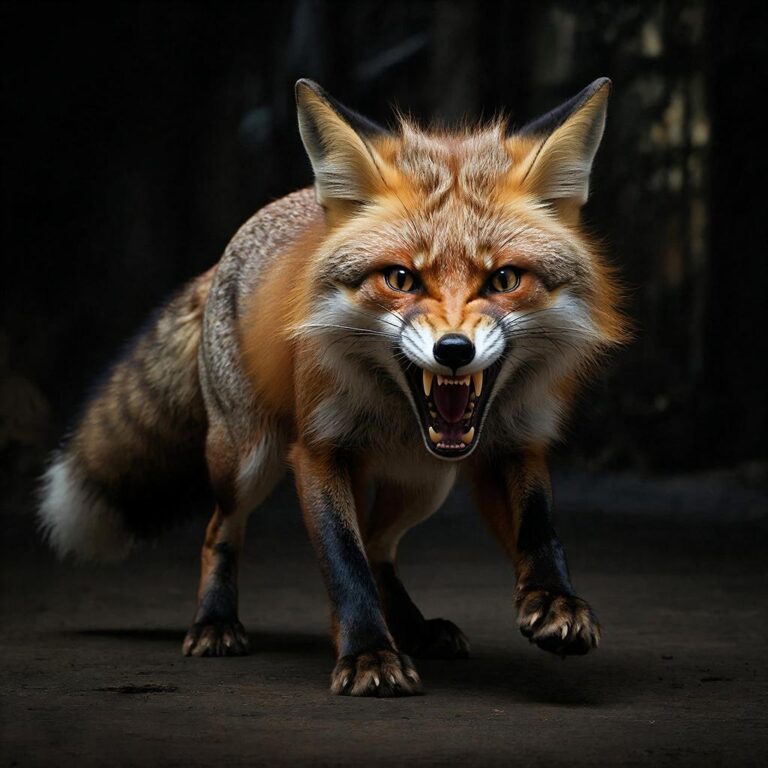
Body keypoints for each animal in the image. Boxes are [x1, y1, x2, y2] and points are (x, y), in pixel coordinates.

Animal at [39, 78, 625, 697]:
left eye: (505, 279)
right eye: (400, 278)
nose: (453, 351)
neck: (397, 415)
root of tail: (232, 248)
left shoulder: (512, 443)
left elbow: (538, 528)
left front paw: (555, 602)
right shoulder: (318, 452)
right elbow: (345, 564)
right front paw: (368, 655)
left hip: (425, 485)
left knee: (380, 545)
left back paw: (418, 629)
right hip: (246, 460)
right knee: (221, 528)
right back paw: (215, 622)